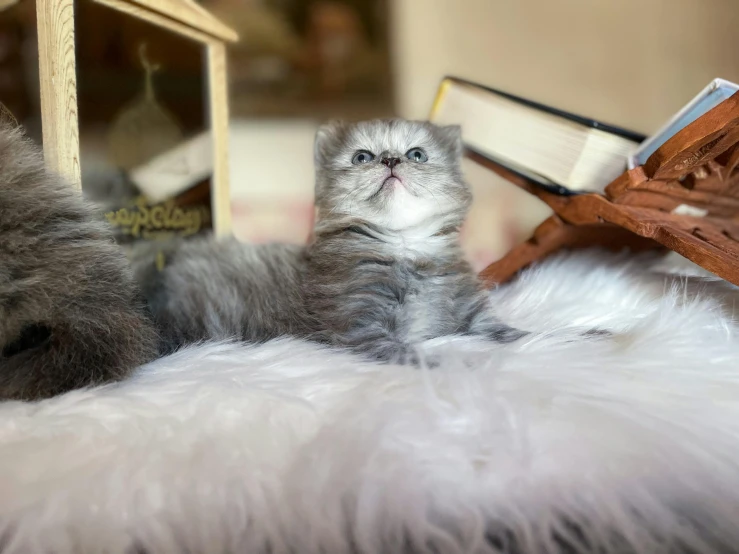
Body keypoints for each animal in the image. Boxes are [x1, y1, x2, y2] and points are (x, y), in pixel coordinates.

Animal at [136, 119, 528, 362]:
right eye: (362, 157)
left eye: (416, 154)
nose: (390, 160)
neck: (404, 246)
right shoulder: (359, 324)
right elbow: (406, 352)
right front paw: (448, 365)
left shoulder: (468, 306)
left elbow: (499, 329)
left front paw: (535, 339)